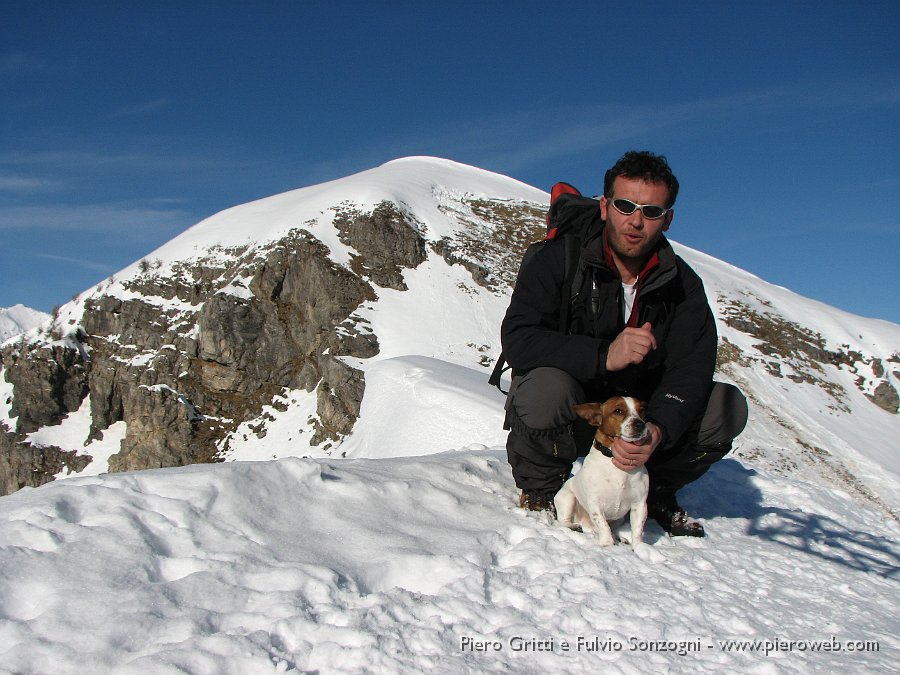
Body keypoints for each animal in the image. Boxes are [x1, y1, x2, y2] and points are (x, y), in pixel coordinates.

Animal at [552, 396, 652, 548]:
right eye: (618, 411)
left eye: (642, 410)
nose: (640, 424)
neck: (615, 463)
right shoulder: (595, 502)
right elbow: (602, 524)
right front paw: (606, 544)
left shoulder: (639, 504)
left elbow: (637, 529)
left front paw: (639, 548)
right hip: (567, 498)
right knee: (562, 522)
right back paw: (573, 527)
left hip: (620, 518)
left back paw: (619, 538)